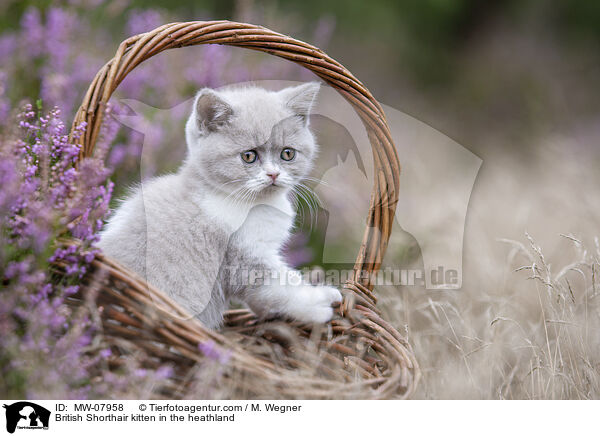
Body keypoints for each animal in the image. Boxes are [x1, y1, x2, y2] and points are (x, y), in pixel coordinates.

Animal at [98, 82, 342, 328]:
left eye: (288, 153)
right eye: (249, 156)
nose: (273, 174)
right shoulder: (242, 258)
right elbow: (278, 286)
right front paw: (318, 304)